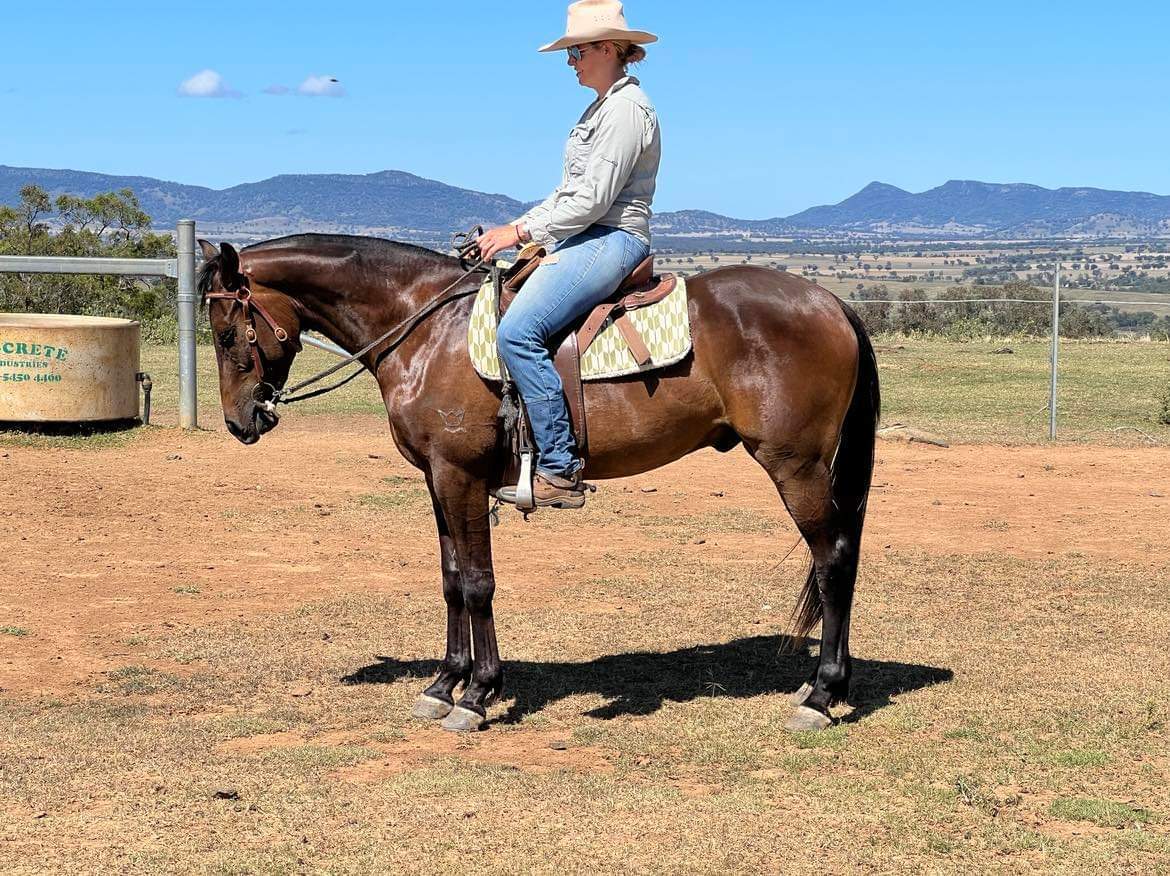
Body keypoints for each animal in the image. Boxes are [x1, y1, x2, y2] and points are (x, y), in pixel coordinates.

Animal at [196, 233, 880, 733]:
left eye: (227, 333)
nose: (239, 420)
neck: (426, 331)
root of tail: (832, 303)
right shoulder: (437, 481)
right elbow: (451, 579)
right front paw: (443, 684)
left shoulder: (461, 477)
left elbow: (478, 583)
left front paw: (477, 694)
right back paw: (823, 684)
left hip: (794, 465)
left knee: (833, 561)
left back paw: (820, 695)